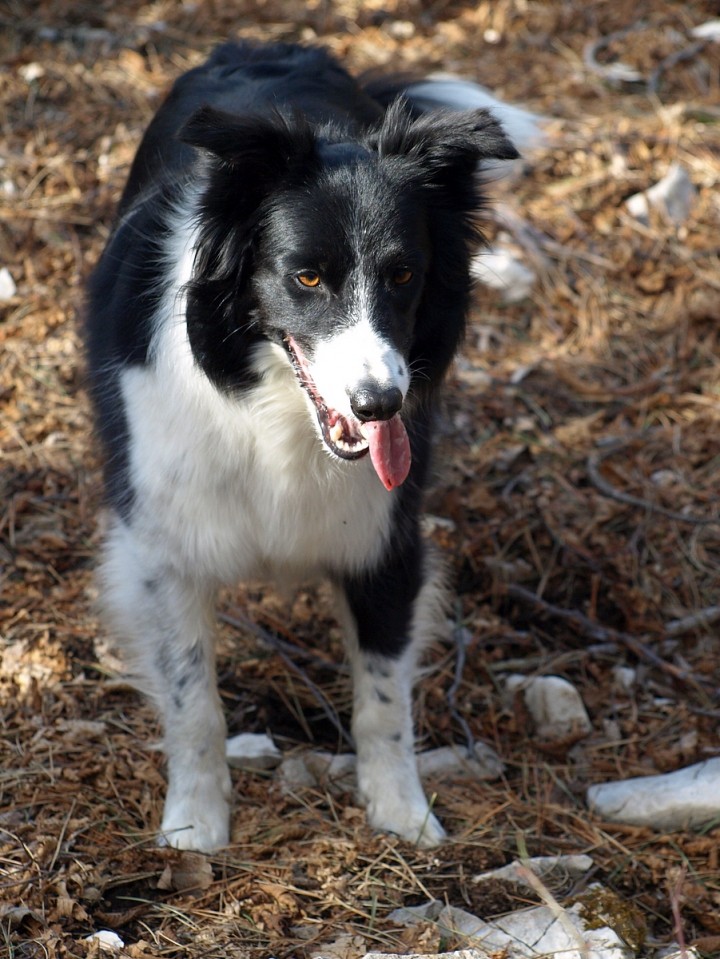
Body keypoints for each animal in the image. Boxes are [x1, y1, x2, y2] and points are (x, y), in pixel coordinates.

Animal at [87, 37, 528, 852]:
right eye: (308, 276)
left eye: (405, 274)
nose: (381, 404)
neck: (274, 414)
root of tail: (270, 46)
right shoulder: (162, 550)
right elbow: (192, 698)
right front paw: (194, 825)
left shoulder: (386, 538)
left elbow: (383, 697)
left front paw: (402, 815)